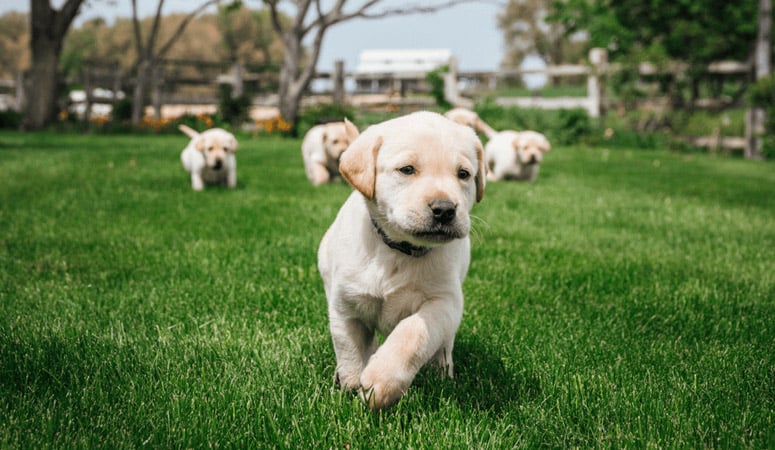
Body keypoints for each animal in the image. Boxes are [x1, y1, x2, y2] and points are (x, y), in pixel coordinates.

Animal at [316, 110, 484, 410]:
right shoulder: (345, 306)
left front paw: (381, 382)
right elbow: (350, 351)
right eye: (407, 170)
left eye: (463, 174)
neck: (399, 250)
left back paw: (441, 369)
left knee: (444, 344)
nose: (445, 210)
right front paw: (351, 386)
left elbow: (413, 334)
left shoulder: (445, 302)